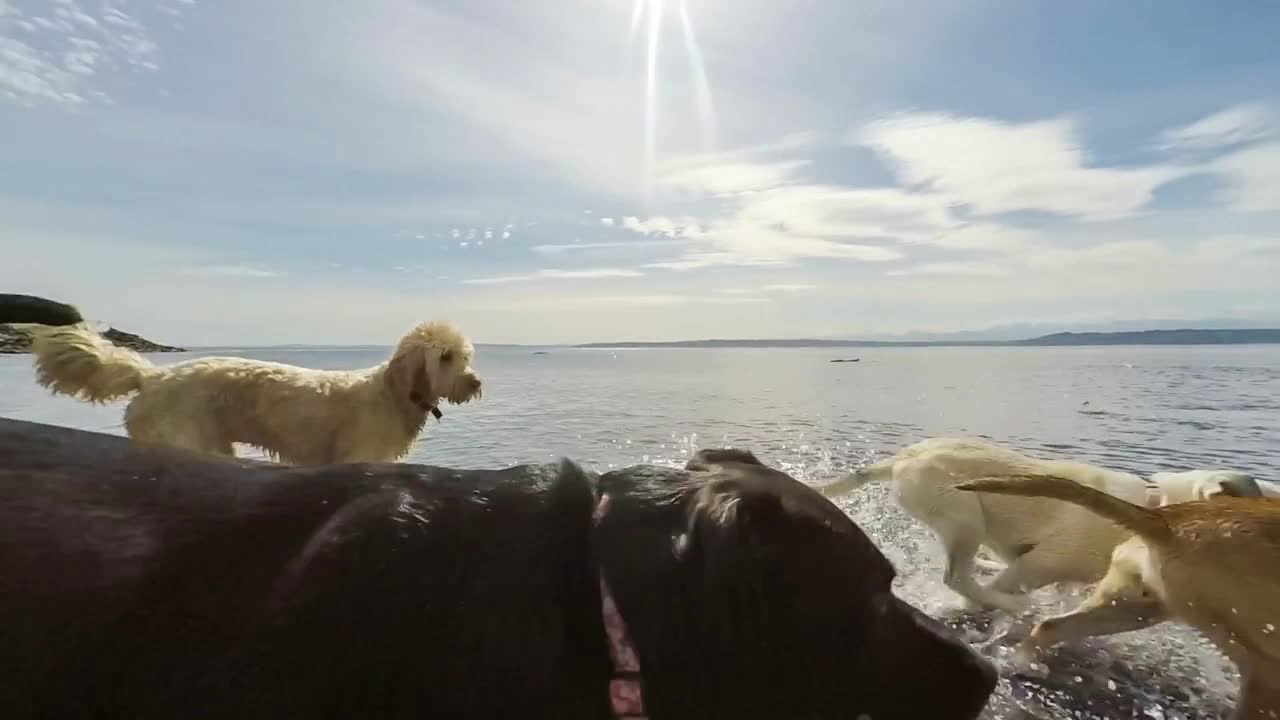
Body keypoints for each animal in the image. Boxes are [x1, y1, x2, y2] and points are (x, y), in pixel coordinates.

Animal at [30, 320, 481, 466]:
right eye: (445, 356)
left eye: (466, 355)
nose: (476, 382)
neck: (393, 393)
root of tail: (152, 377)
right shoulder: (360, 455)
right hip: (187, 439)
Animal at [819, 435, 1269, 607]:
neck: (1155, 505)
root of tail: (902, 458)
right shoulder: (1040, 564)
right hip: (965, 519)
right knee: (958, 579)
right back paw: (1011, 604)